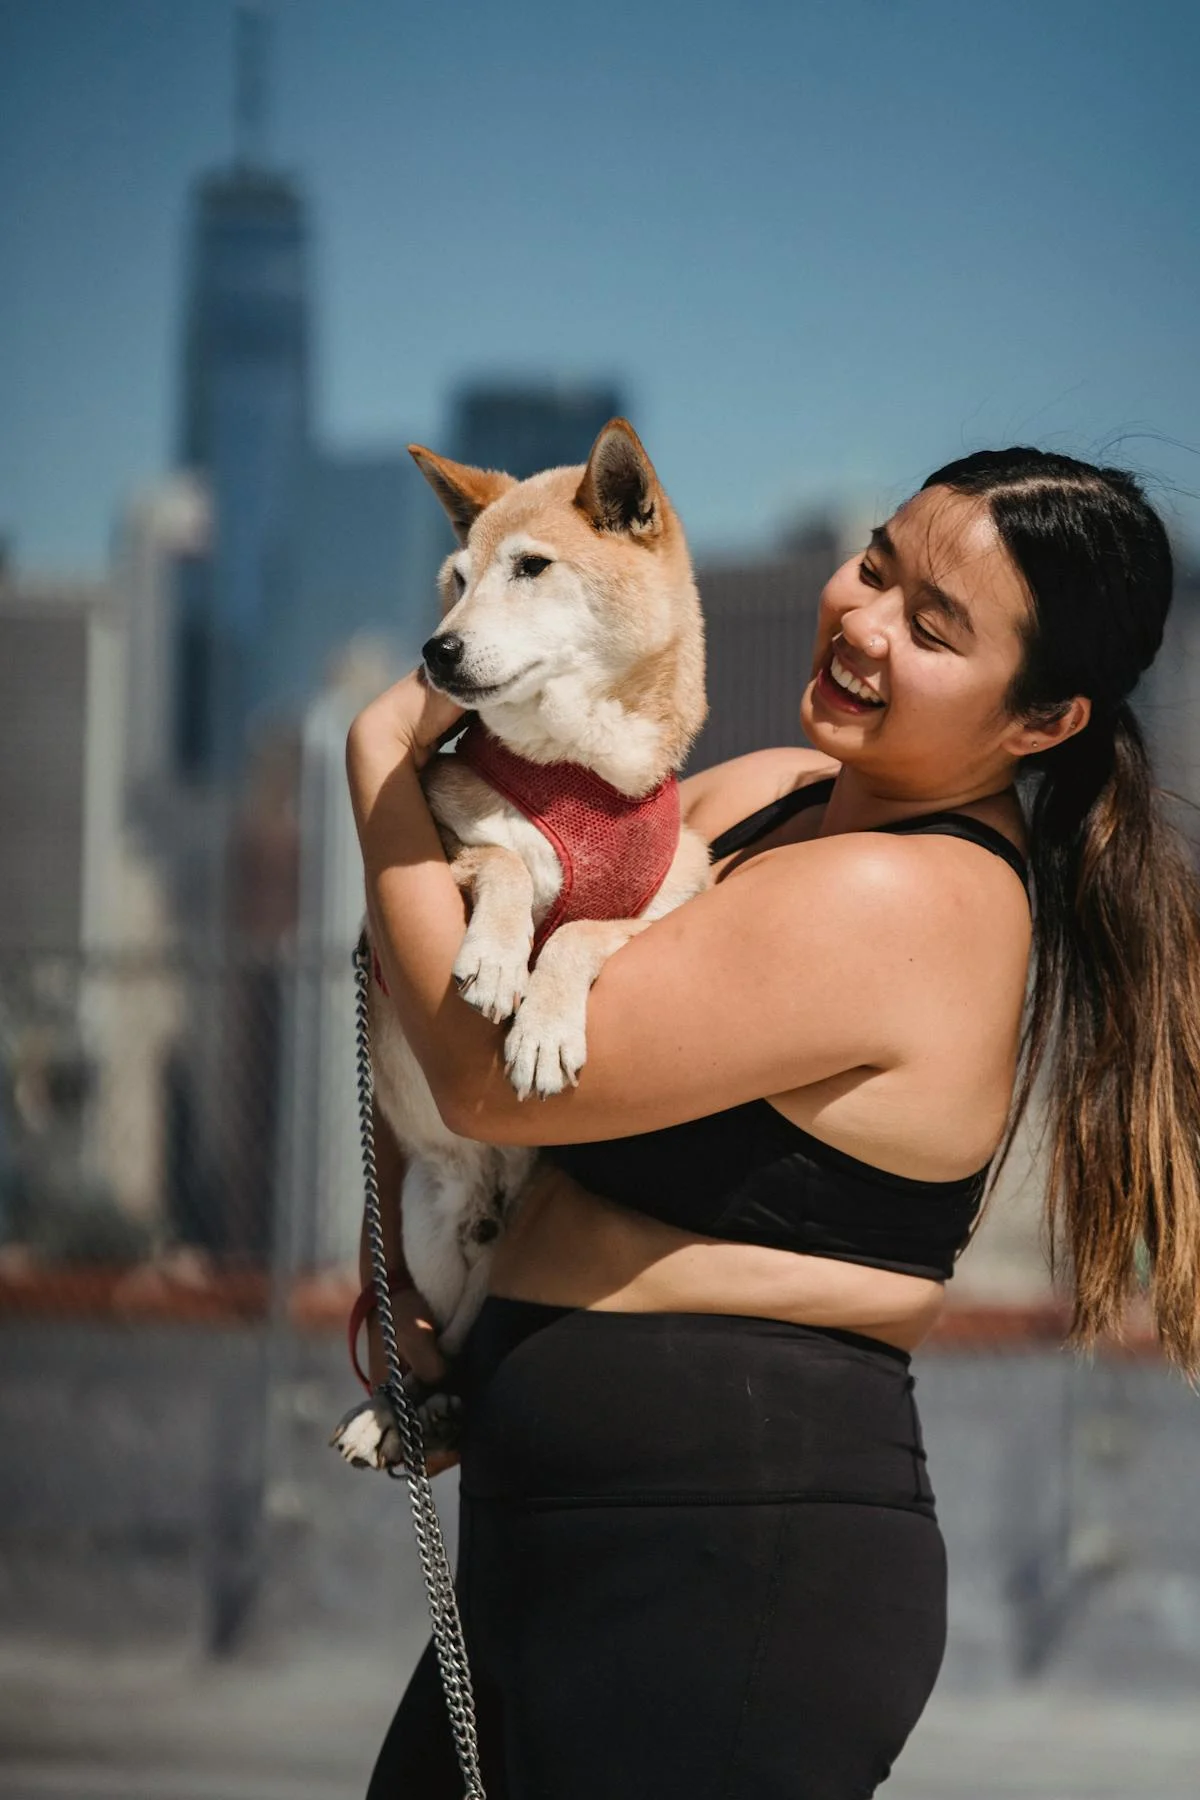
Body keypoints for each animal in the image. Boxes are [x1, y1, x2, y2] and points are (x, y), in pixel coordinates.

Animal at [332, 428, 708, 1468]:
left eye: (531, 568)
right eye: (454, 581)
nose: (437, 650)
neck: (582, 771)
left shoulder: (681, 891)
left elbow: (580, 929)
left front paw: (543, 1026)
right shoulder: (441, 847)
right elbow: (499, 862)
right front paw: (498, 962)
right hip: (425, 1229)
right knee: (418, 1344)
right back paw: (398, 1411)